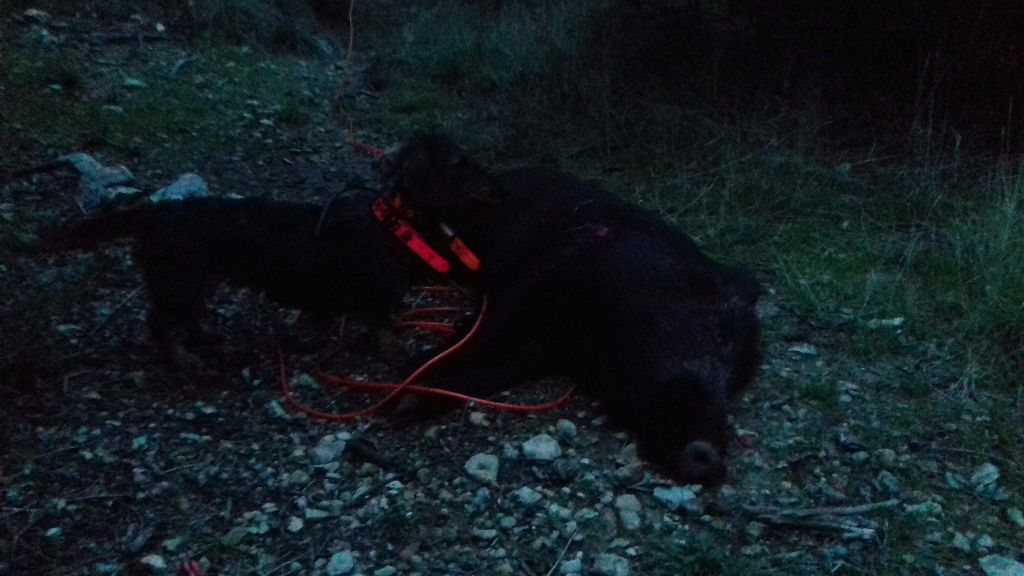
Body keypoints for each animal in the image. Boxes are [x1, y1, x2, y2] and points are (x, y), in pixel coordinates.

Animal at [51, 192, 423, 362]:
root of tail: (152, 213)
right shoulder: (373, 291)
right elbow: (381, 324)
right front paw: (393, 349)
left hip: (193, 282)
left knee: (188, 315)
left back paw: (207, 336)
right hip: (178, 282)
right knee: (160, 322)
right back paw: (183, 358)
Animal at [387, 135, 757, 483]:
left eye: (734, 382)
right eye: (708, 331)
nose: (710, 459)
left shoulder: (540, 347)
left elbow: (493, 371)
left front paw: (408, 401)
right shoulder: (533, 278)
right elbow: (483, 332)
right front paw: (408, 372)